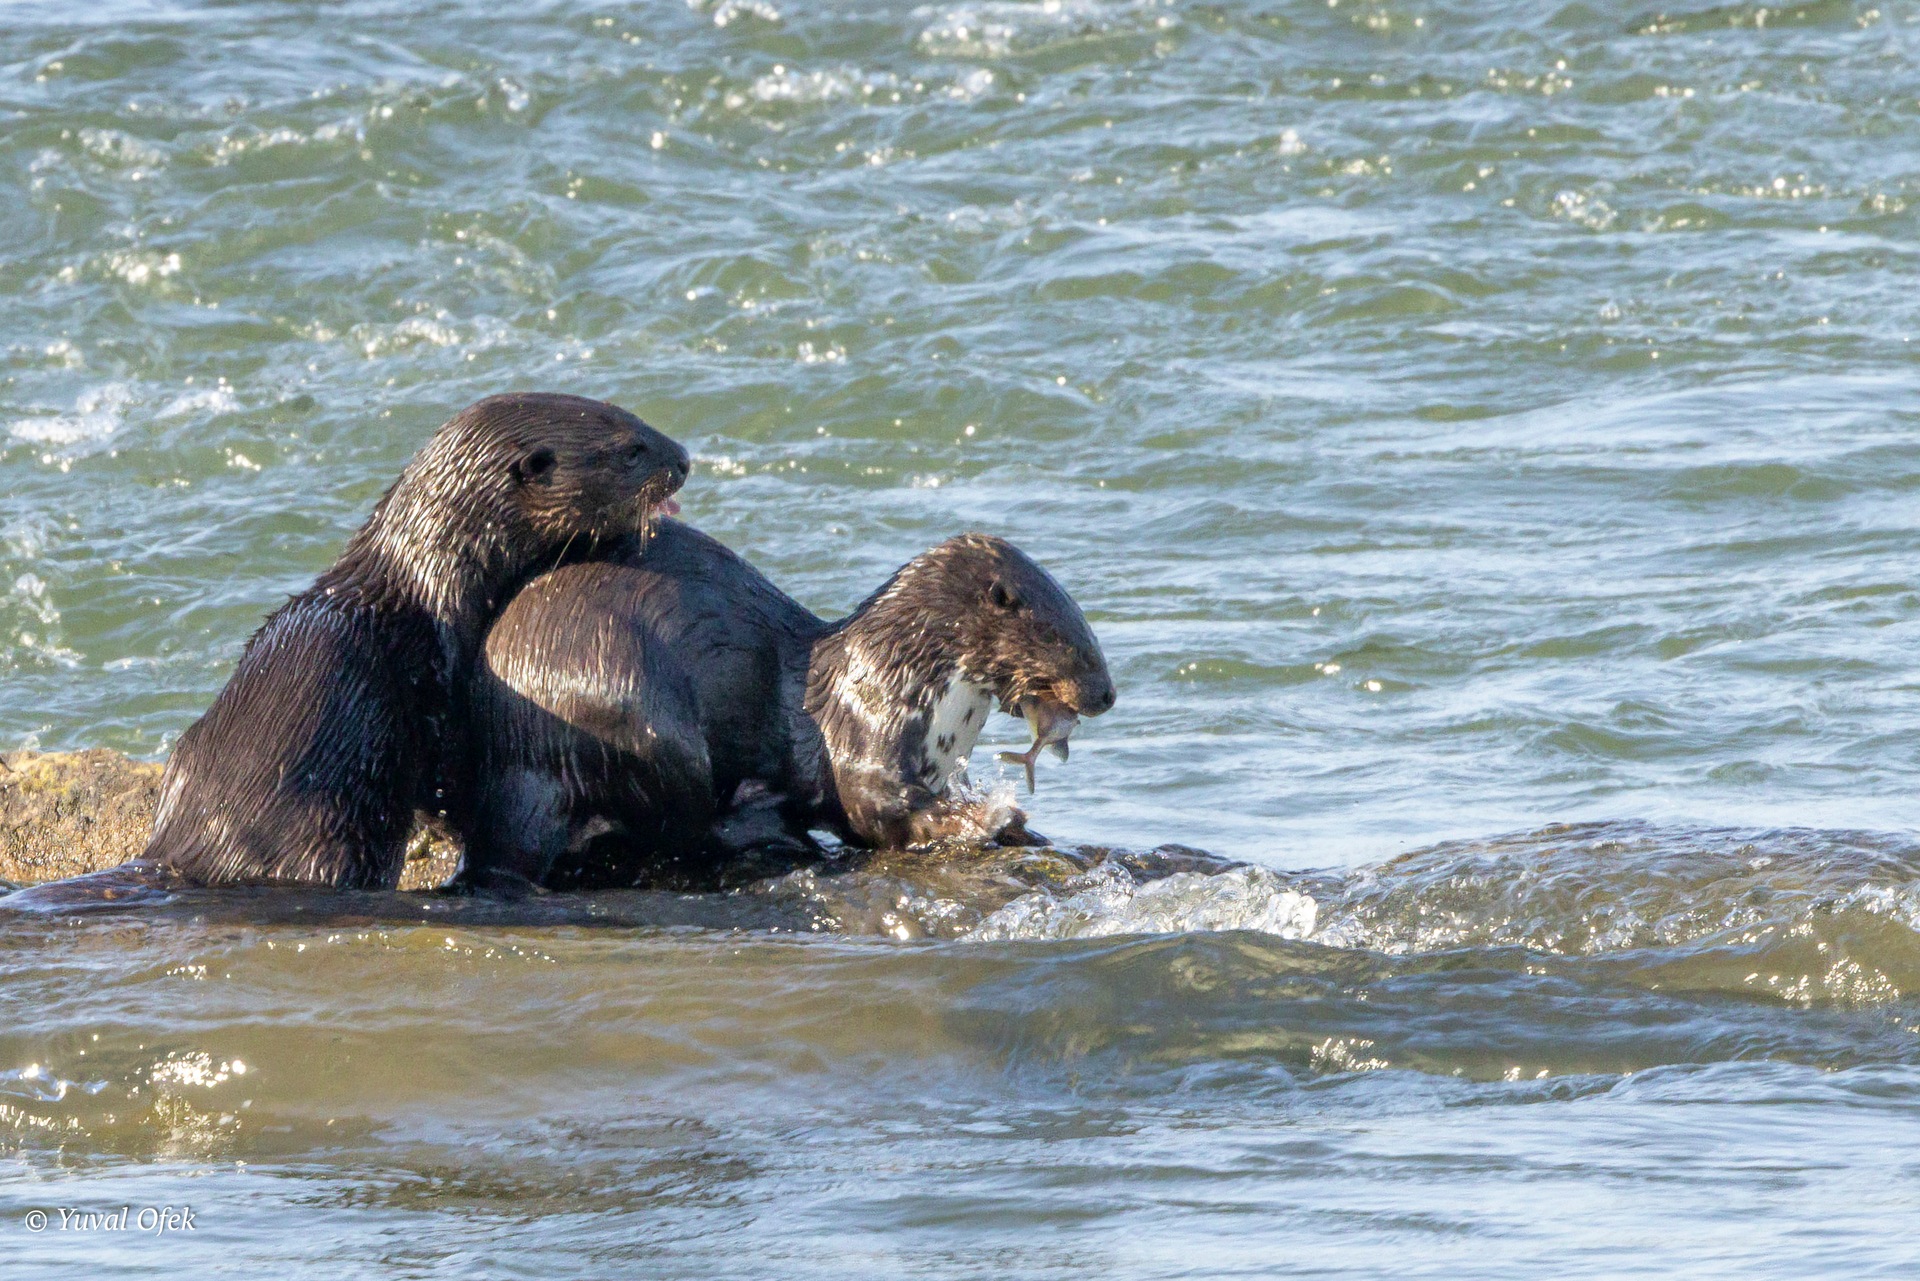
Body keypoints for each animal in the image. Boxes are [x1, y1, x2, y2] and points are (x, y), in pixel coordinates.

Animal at [141, 393, 689, 889]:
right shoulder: (439, 680)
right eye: (632, 450)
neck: (433, 580)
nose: (684, 458)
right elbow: (447, 781)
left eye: (638, 418)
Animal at [463, 522, 1115, 893]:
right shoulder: (866, 736)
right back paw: (770, 828)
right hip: (638, 712)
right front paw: (987, 819)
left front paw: (1020, 828)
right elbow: (877, 810)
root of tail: (518, 750)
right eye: (1065, 639)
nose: (1108, 693)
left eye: (1087, 630)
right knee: (685, 827)